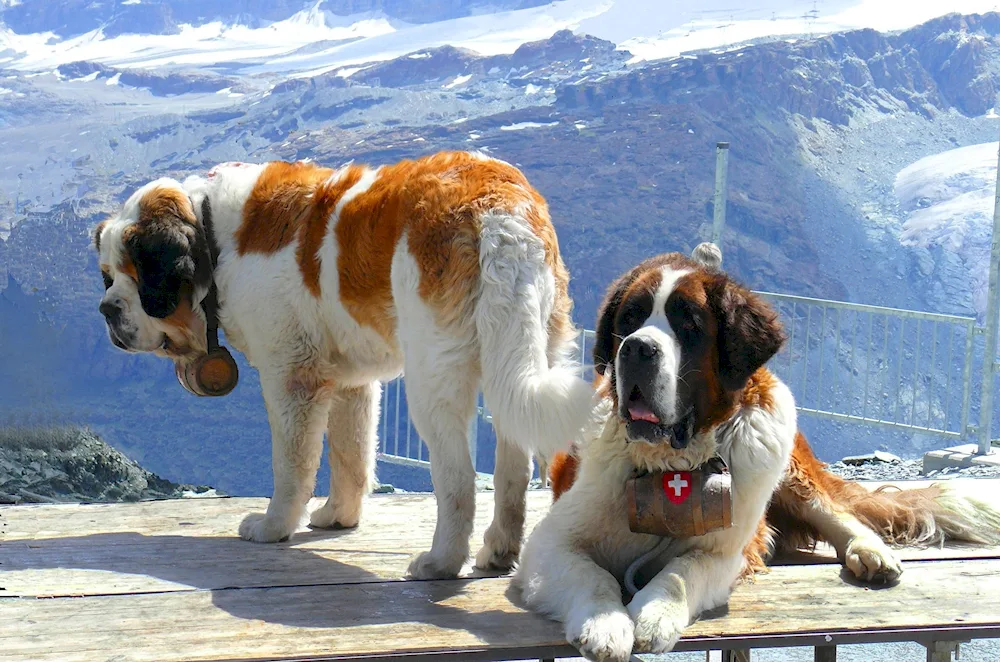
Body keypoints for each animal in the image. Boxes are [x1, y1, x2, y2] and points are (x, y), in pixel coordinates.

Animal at [92, 153, 592, 580]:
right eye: (107, 275)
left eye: (135, 274)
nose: (106, 309)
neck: (213, 235)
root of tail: (499, 213)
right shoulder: (353, 383)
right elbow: (351, 454)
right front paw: (339, 517)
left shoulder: (291, 375)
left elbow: (292, 463)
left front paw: (273, 527)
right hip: (529, 345)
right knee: (514, 464)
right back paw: (498, 551)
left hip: (433, 376)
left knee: (458, 480)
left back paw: (440, 562)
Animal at [516, 246, 1000, 660]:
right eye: (629, 317)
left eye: (689, 326)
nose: (636, 347)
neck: (671, 462)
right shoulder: (550, 540)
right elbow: (591, 575)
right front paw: (604, 623)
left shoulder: (728, 553)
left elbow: (682, 571)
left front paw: (654, 614)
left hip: (787, 460)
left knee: (837, 511)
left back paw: (871, 551)